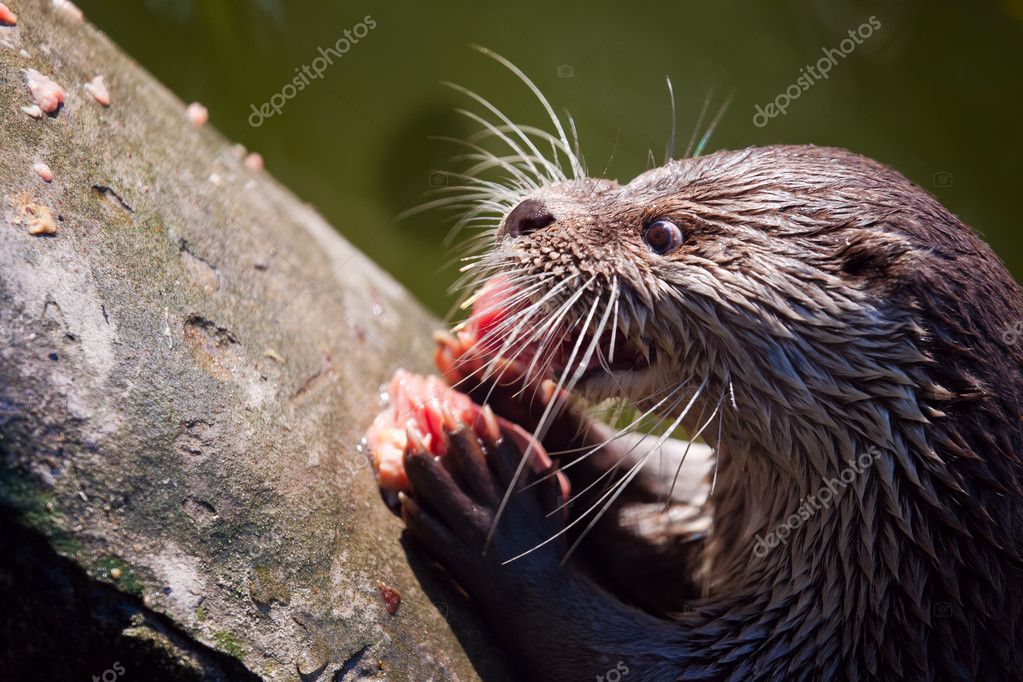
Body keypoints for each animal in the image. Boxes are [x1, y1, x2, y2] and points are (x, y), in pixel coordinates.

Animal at [368, 57, 1023, 682]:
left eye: (662, 233)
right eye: (648, 176)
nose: (531, 213)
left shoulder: (829, 650)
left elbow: (602, 649)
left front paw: (487, 500)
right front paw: (494, 379)